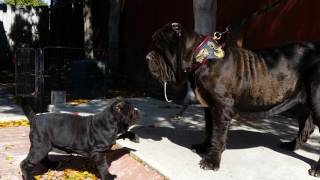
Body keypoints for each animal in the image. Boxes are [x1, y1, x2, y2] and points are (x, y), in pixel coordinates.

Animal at [147, 22, 320, 177]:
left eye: (159, 49)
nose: (147, 57)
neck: (201, 57)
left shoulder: (221, 109)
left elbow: (217, 136)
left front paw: (211, 161)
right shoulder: (209, 108)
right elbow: (209, 130)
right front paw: (203, 147)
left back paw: (316, 169)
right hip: (299, 102)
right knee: (306, 126)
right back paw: (291, 145)